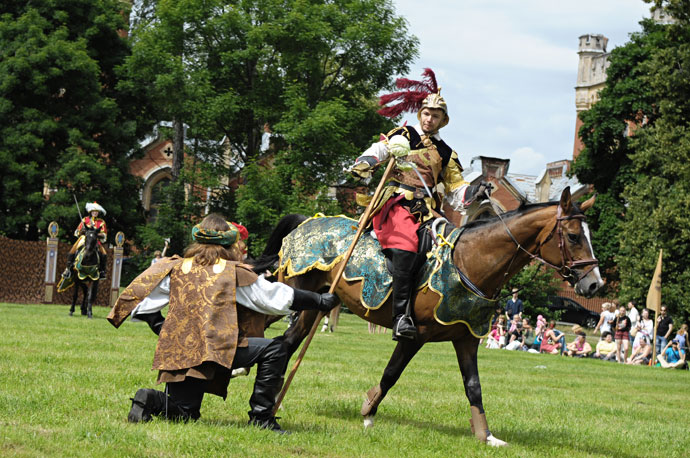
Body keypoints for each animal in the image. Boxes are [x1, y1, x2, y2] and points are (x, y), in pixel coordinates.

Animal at [272, 187, 600, 448]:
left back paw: (273, 397)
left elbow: (473, 386)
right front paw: (368, 414)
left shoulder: (466, 339)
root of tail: (308, 221)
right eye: (573, 236)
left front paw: (486, 435)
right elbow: (391, 373)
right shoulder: (415, 336)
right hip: (297, 295)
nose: (594, 284)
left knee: (288, 341)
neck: (468, 262)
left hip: (314, 304)